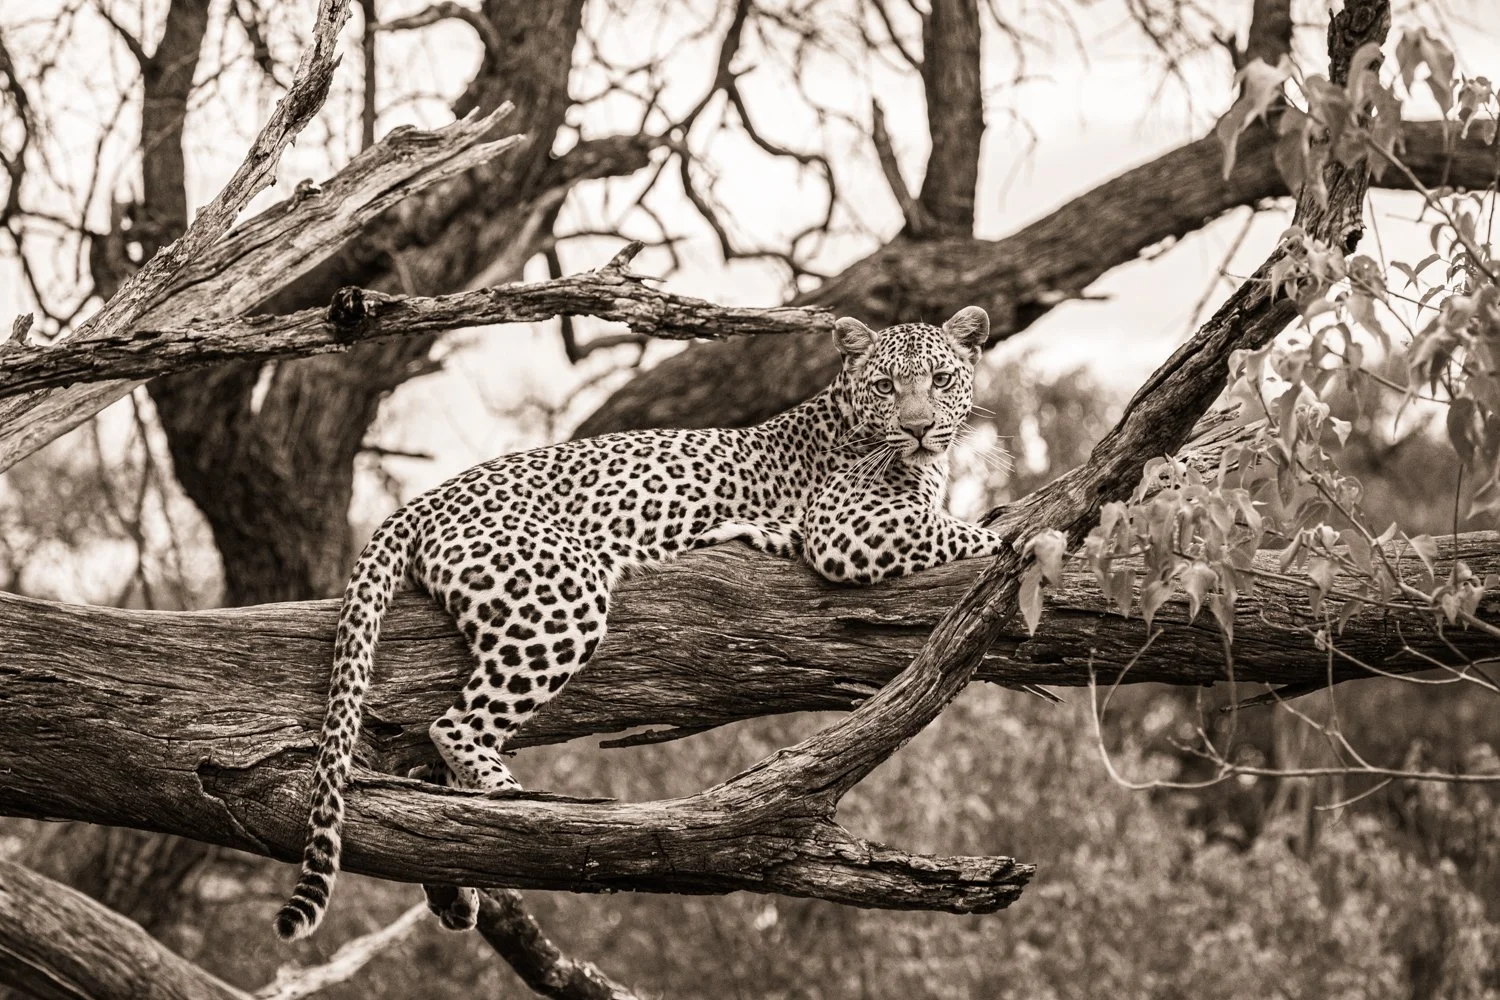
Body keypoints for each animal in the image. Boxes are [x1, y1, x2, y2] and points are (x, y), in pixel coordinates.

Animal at [274, 305, 1012, 942]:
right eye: (887, 386)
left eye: (940, 379)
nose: (917, 427)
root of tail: (421, 501)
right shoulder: (844, 529)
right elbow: (964, 532)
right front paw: (1016, 533)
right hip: (564, 600)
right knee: (454, 726)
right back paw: (522, 807)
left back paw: (457, 889)